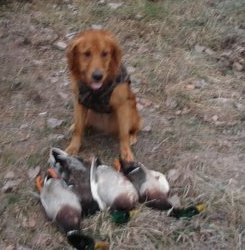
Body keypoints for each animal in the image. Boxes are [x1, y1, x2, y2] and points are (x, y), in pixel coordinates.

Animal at [65, 29, 142, 162]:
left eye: (105, 53)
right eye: (87, 54)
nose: (97, 76)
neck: (96, 91)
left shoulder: (122, 106)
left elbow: (123, 134)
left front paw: (126, 152)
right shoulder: (80, 102)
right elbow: (78, 129)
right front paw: (73, 147)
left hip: (131, 112)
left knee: (134, 128)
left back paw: (132, 136)